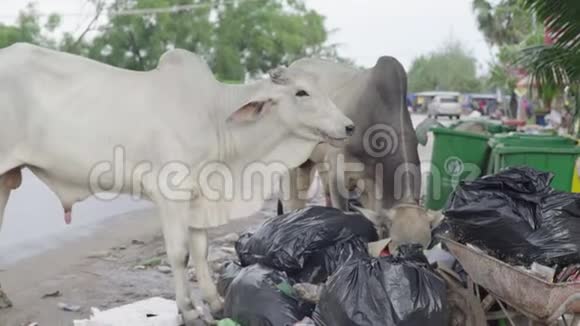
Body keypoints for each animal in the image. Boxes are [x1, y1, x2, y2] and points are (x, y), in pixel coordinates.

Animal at [0, 42, 354, 324]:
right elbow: (179, 253)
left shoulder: (199, 194)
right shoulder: (170, 191)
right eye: (301, 92)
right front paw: (188, 310)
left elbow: (200, 250)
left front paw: (215, 304)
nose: (349, 126)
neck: (215, 118)